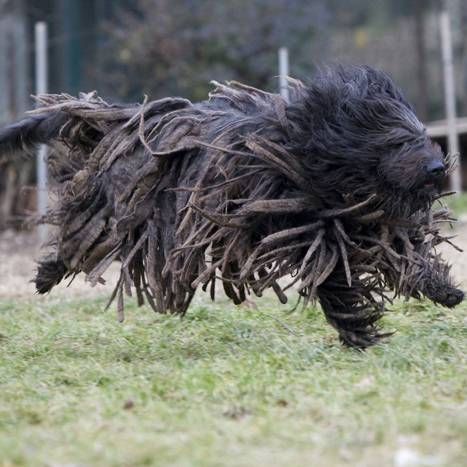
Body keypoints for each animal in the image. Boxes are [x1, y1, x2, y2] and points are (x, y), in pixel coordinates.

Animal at [0, 65, 462, 348]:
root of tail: (122, 118)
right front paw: (357, 329)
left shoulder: (362, 221)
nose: (437, 167)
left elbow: (400, 251)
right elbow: (334, 275)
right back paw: (47, 273)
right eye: (396, 141)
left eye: (421, 133)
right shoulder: (304, 228)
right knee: (83, 232)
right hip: (121, 205)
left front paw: (443, 288)